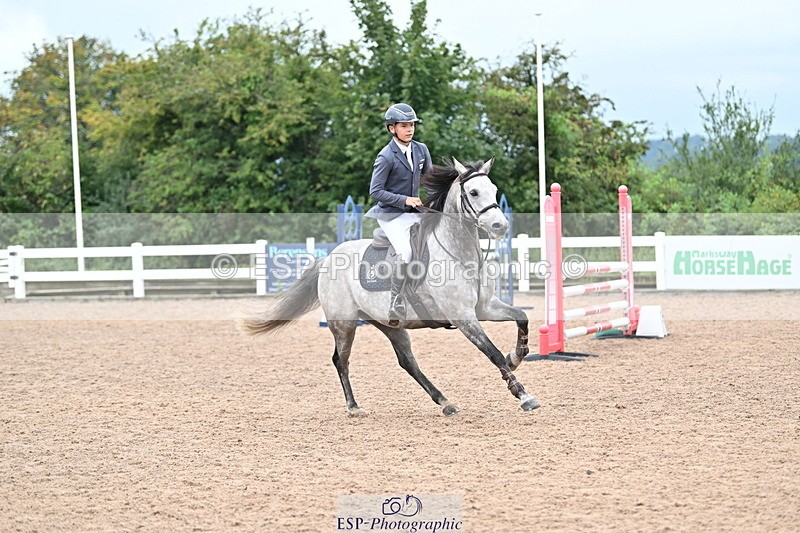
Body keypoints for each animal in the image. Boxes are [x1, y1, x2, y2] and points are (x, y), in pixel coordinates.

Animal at [242, 157, 539, 415]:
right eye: (474, 192)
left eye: (494, 190)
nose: (500, 226)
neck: (460, 255)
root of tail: (328, 258)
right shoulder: (463, 317)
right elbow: (492, 353)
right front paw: (523, 395)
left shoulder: (485, 308)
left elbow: (521, 318)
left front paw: (516, 356)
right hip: (344, 323)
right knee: (341, 360)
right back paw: (354, 407)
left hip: (389, 324)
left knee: (408, 362)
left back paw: (445, 403)